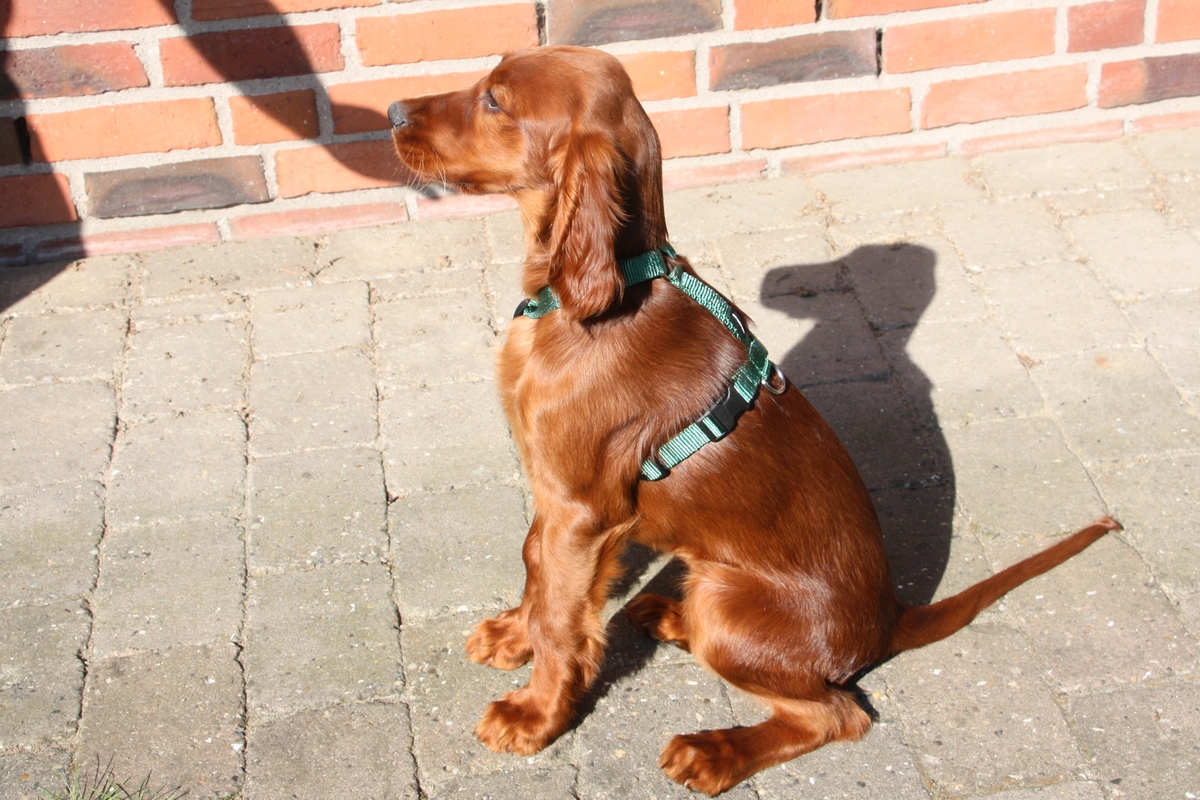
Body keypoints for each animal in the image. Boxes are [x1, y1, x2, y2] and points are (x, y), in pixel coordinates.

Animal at [387, 45, 1119, 795]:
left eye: (495, 100)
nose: (390, 112)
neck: (594, 299)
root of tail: (890, 621)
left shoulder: (580, 508)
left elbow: (564, 619)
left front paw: (535, 713)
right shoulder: (552, 492)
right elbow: (535, 565)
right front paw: (515, 635)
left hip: (726, 600)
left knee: (837, 715)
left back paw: (713, 752)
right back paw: (663, 614)